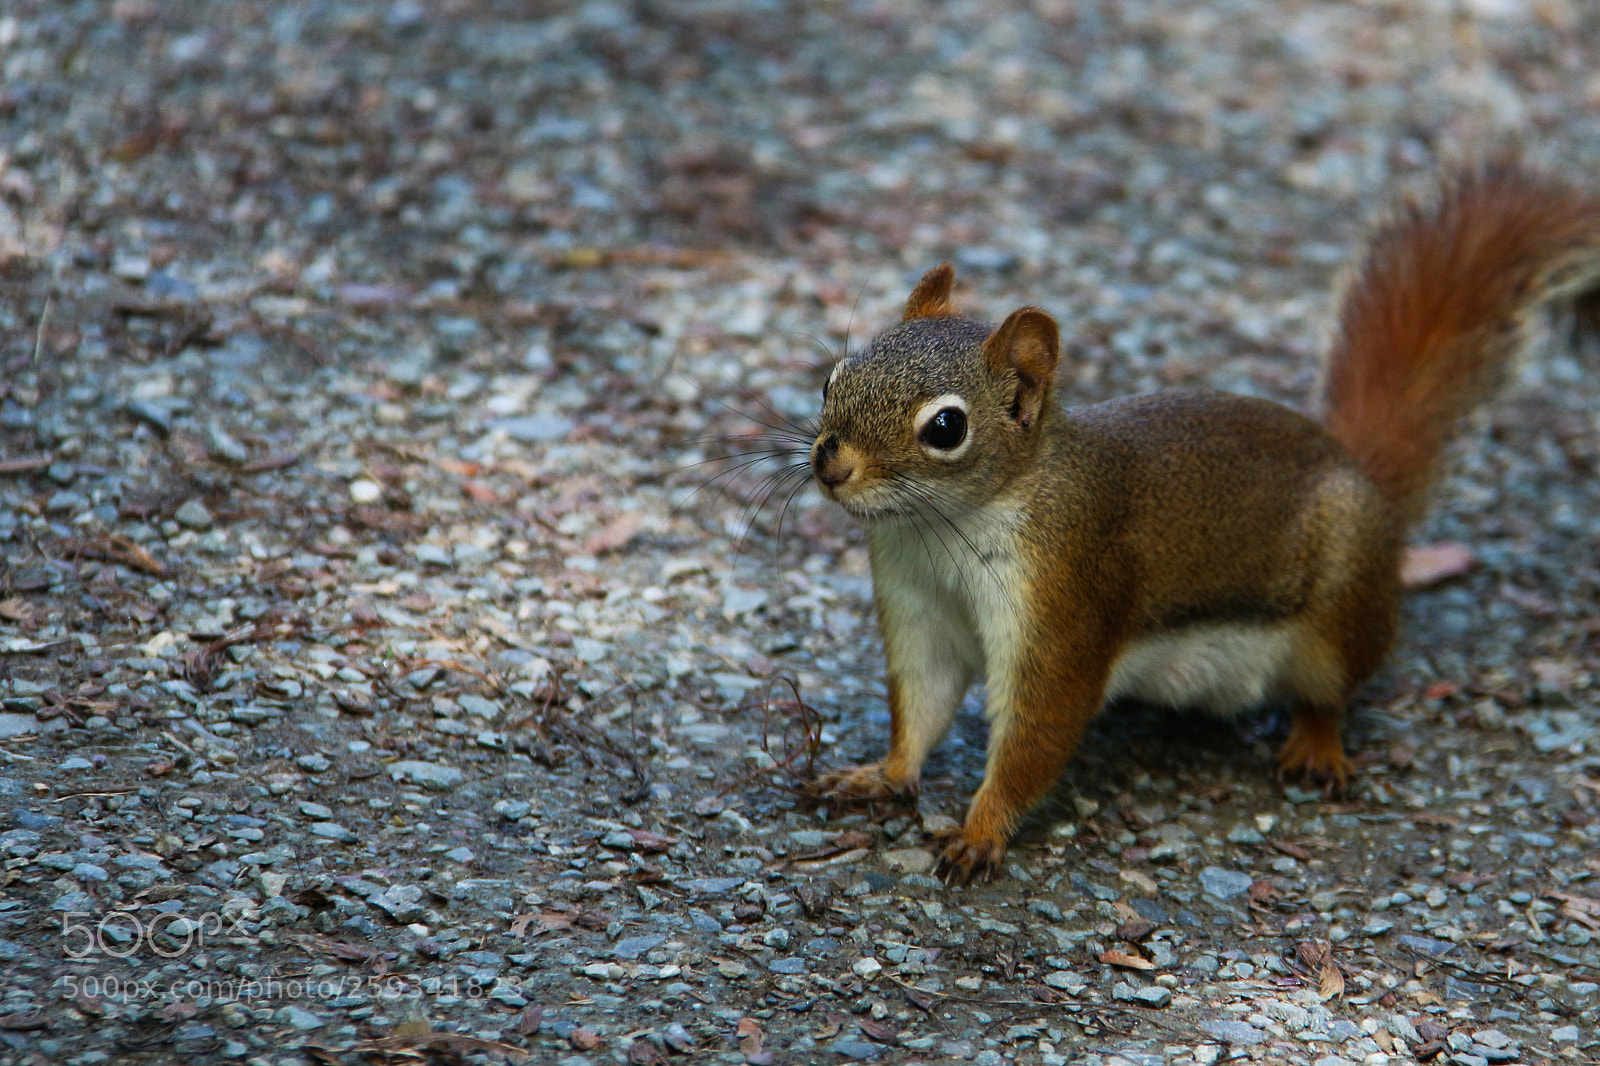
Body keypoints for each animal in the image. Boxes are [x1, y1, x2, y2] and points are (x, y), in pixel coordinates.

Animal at [807, 163, 1600, 882]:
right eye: (832, 378)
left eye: (946, 428)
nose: (829, 464)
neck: (943, 528)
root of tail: (1364, 477)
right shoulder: (918, 605)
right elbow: (923, 703)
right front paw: (880, 774)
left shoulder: (1067, 601)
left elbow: (1038, 730)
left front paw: (979, 832)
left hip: (1338, 607)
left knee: (1332, 690)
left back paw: (1317, 746)